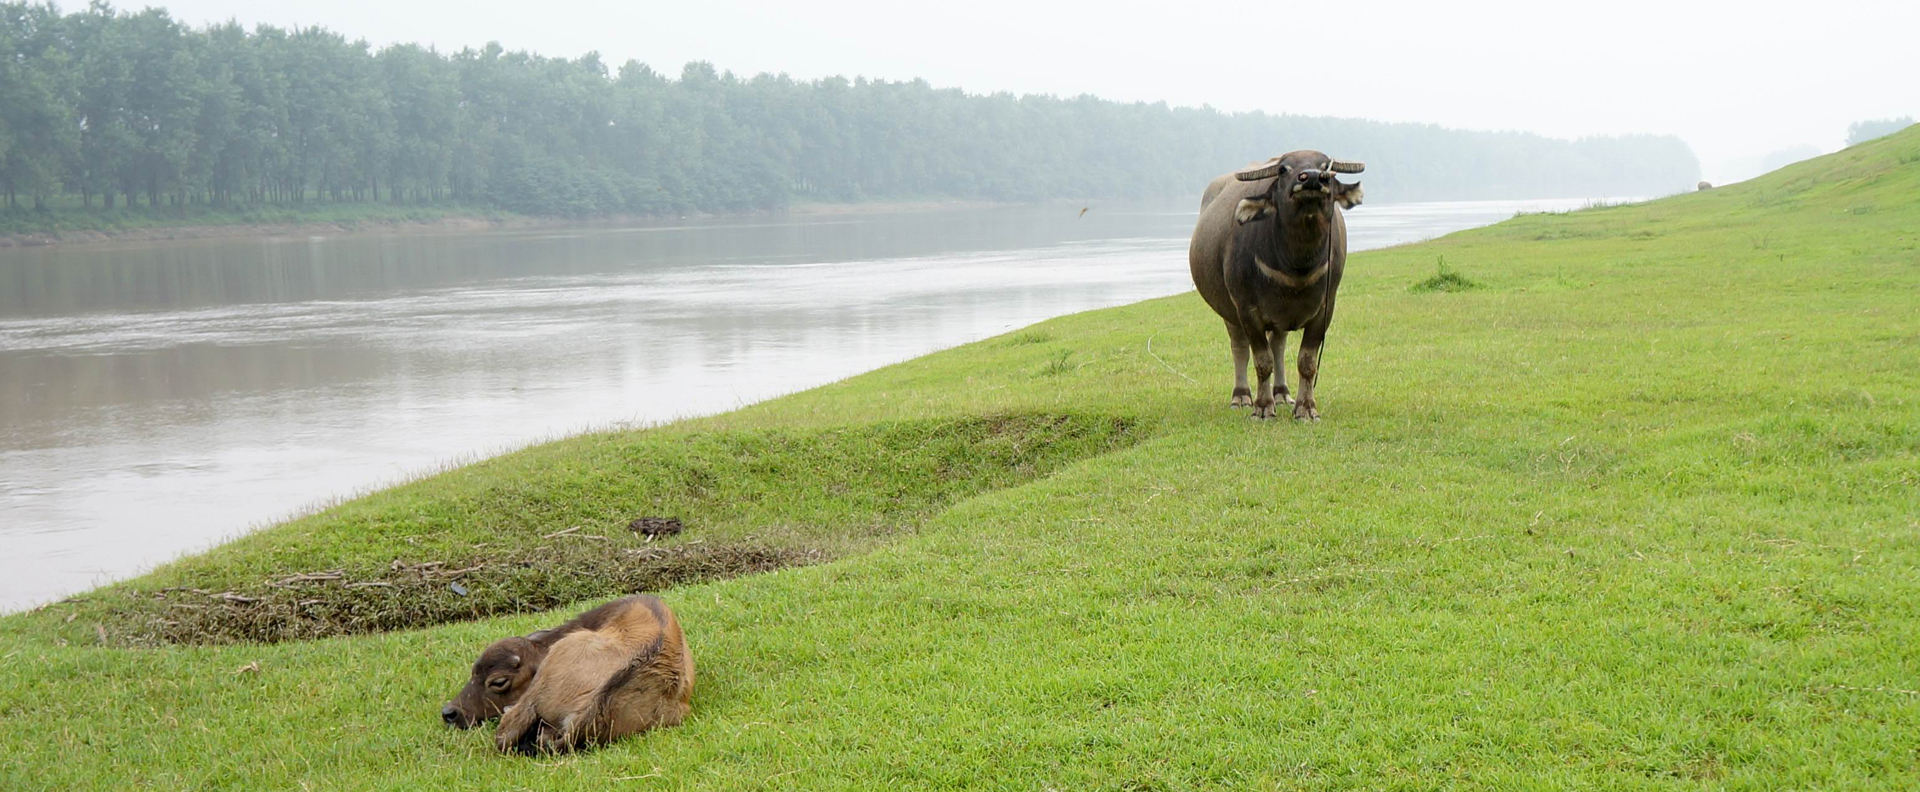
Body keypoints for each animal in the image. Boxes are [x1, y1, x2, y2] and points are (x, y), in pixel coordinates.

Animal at [1182, 149, 1367, 419]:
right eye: (1283, 169)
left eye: (1325, 167)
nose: (1313, 178)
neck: (1296, 267)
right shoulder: (1247, 309)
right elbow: (1262, 360)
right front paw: (1262, 407)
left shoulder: (1325, 309)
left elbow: (1306, 361)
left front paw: (1306, 408)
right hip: (1229, 312)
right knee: (1239, 347)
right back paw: (1241, 396)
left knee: (1278, 344)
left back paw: (1281, 393)